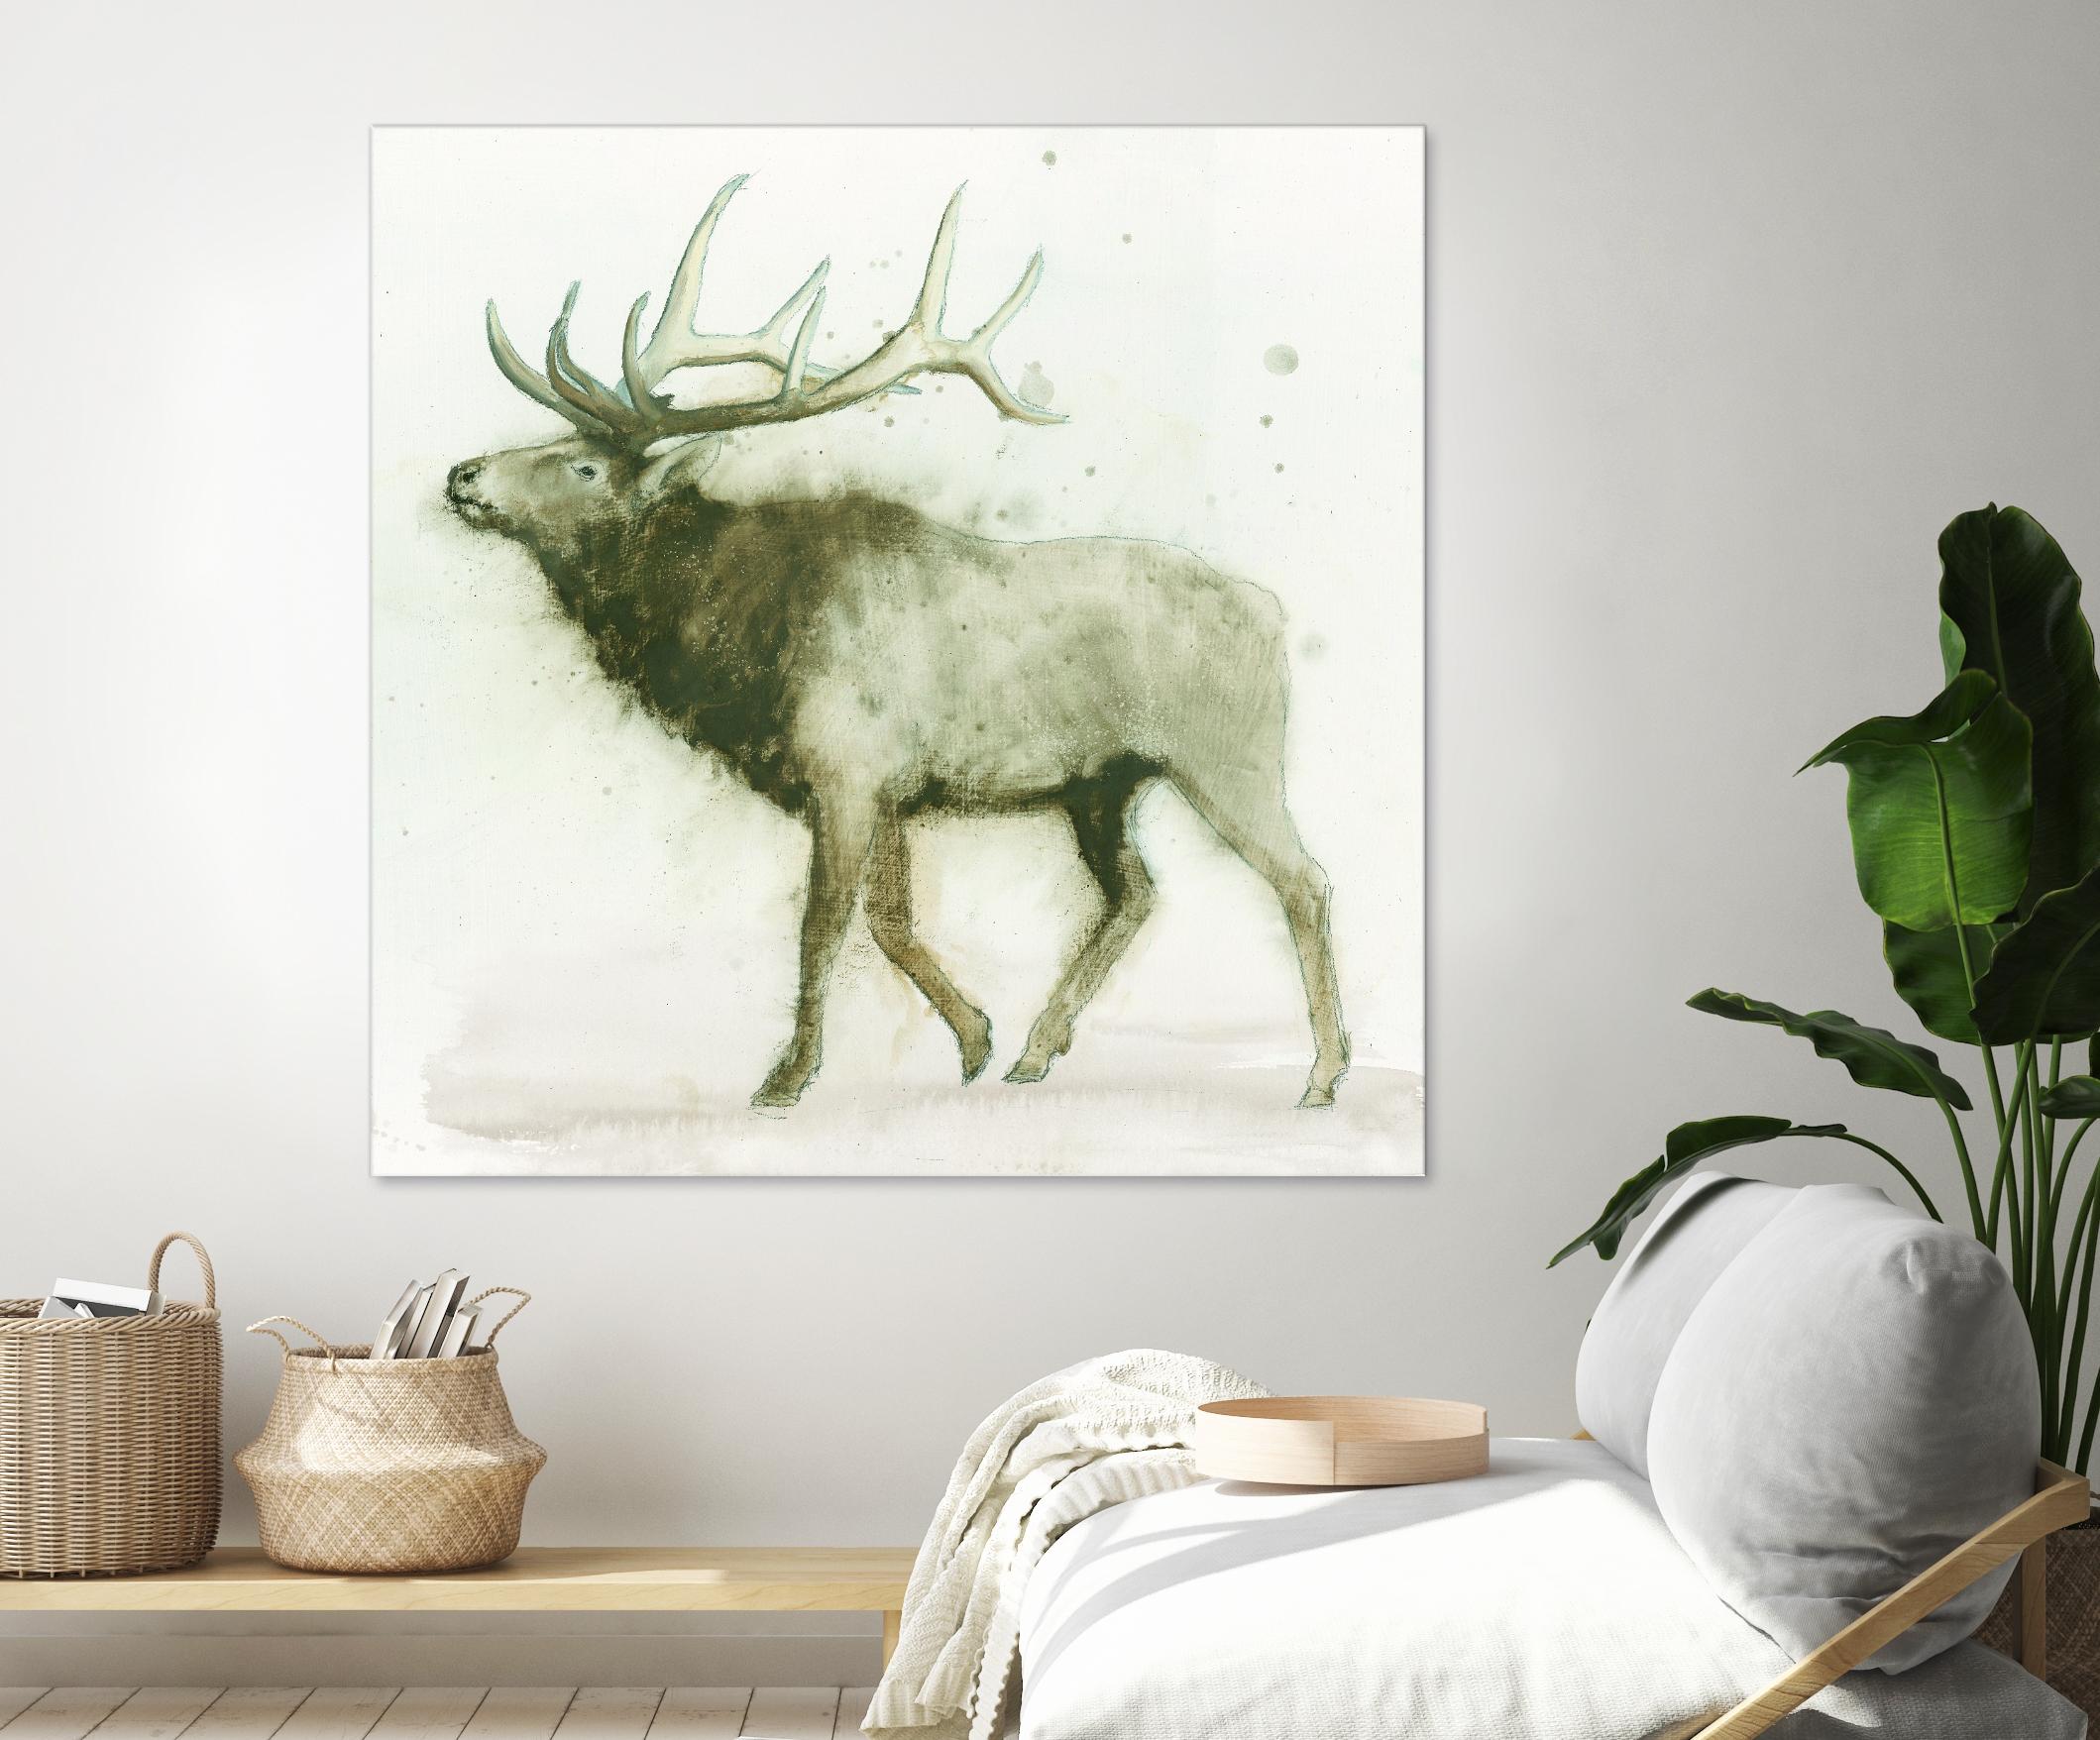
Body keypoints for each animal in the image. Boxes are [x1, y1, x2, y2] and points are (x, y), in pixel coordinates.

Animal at [444, 176, 1349, 1112]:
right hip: (1100, 784)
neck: (733, 646)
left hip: (1226, 753)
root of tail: (1270, 612)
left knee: (1303, 879)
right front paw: (975, 1038)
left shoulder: (846, 770)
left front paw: (787, 1076)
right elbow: (889, 920)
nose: (462, 475)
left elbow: (822, 927)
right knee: (1136, 894)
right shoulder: (891, 791)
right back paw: (1037, 1049)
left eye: (584, 466)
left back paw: (1322, 1075)